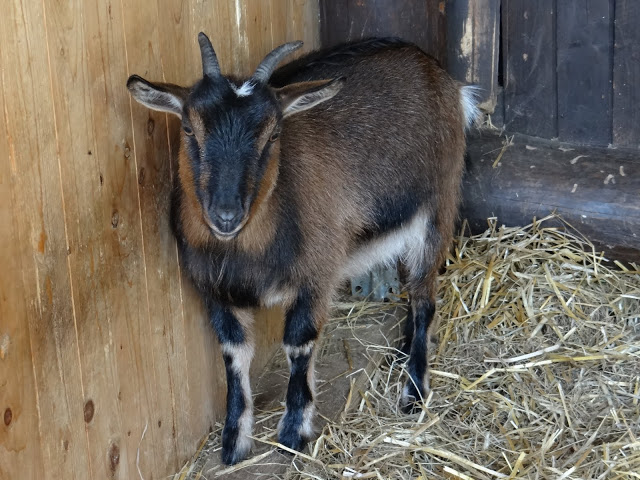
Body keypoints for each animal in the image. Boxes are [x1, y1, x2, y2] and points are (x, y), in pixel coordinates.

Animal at [127, 32, 477, 465]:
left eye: (274, 133)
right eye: (190, 128)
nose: (225, 214)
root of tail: (447, 81)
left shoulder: (317, 273)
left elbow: (299, 343)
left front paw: (294, 431)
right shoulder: (215, 290)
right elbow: (233, 354)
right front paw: (234, 443)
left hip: (436, 209)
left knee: (425, 298)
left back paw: (413, 391)